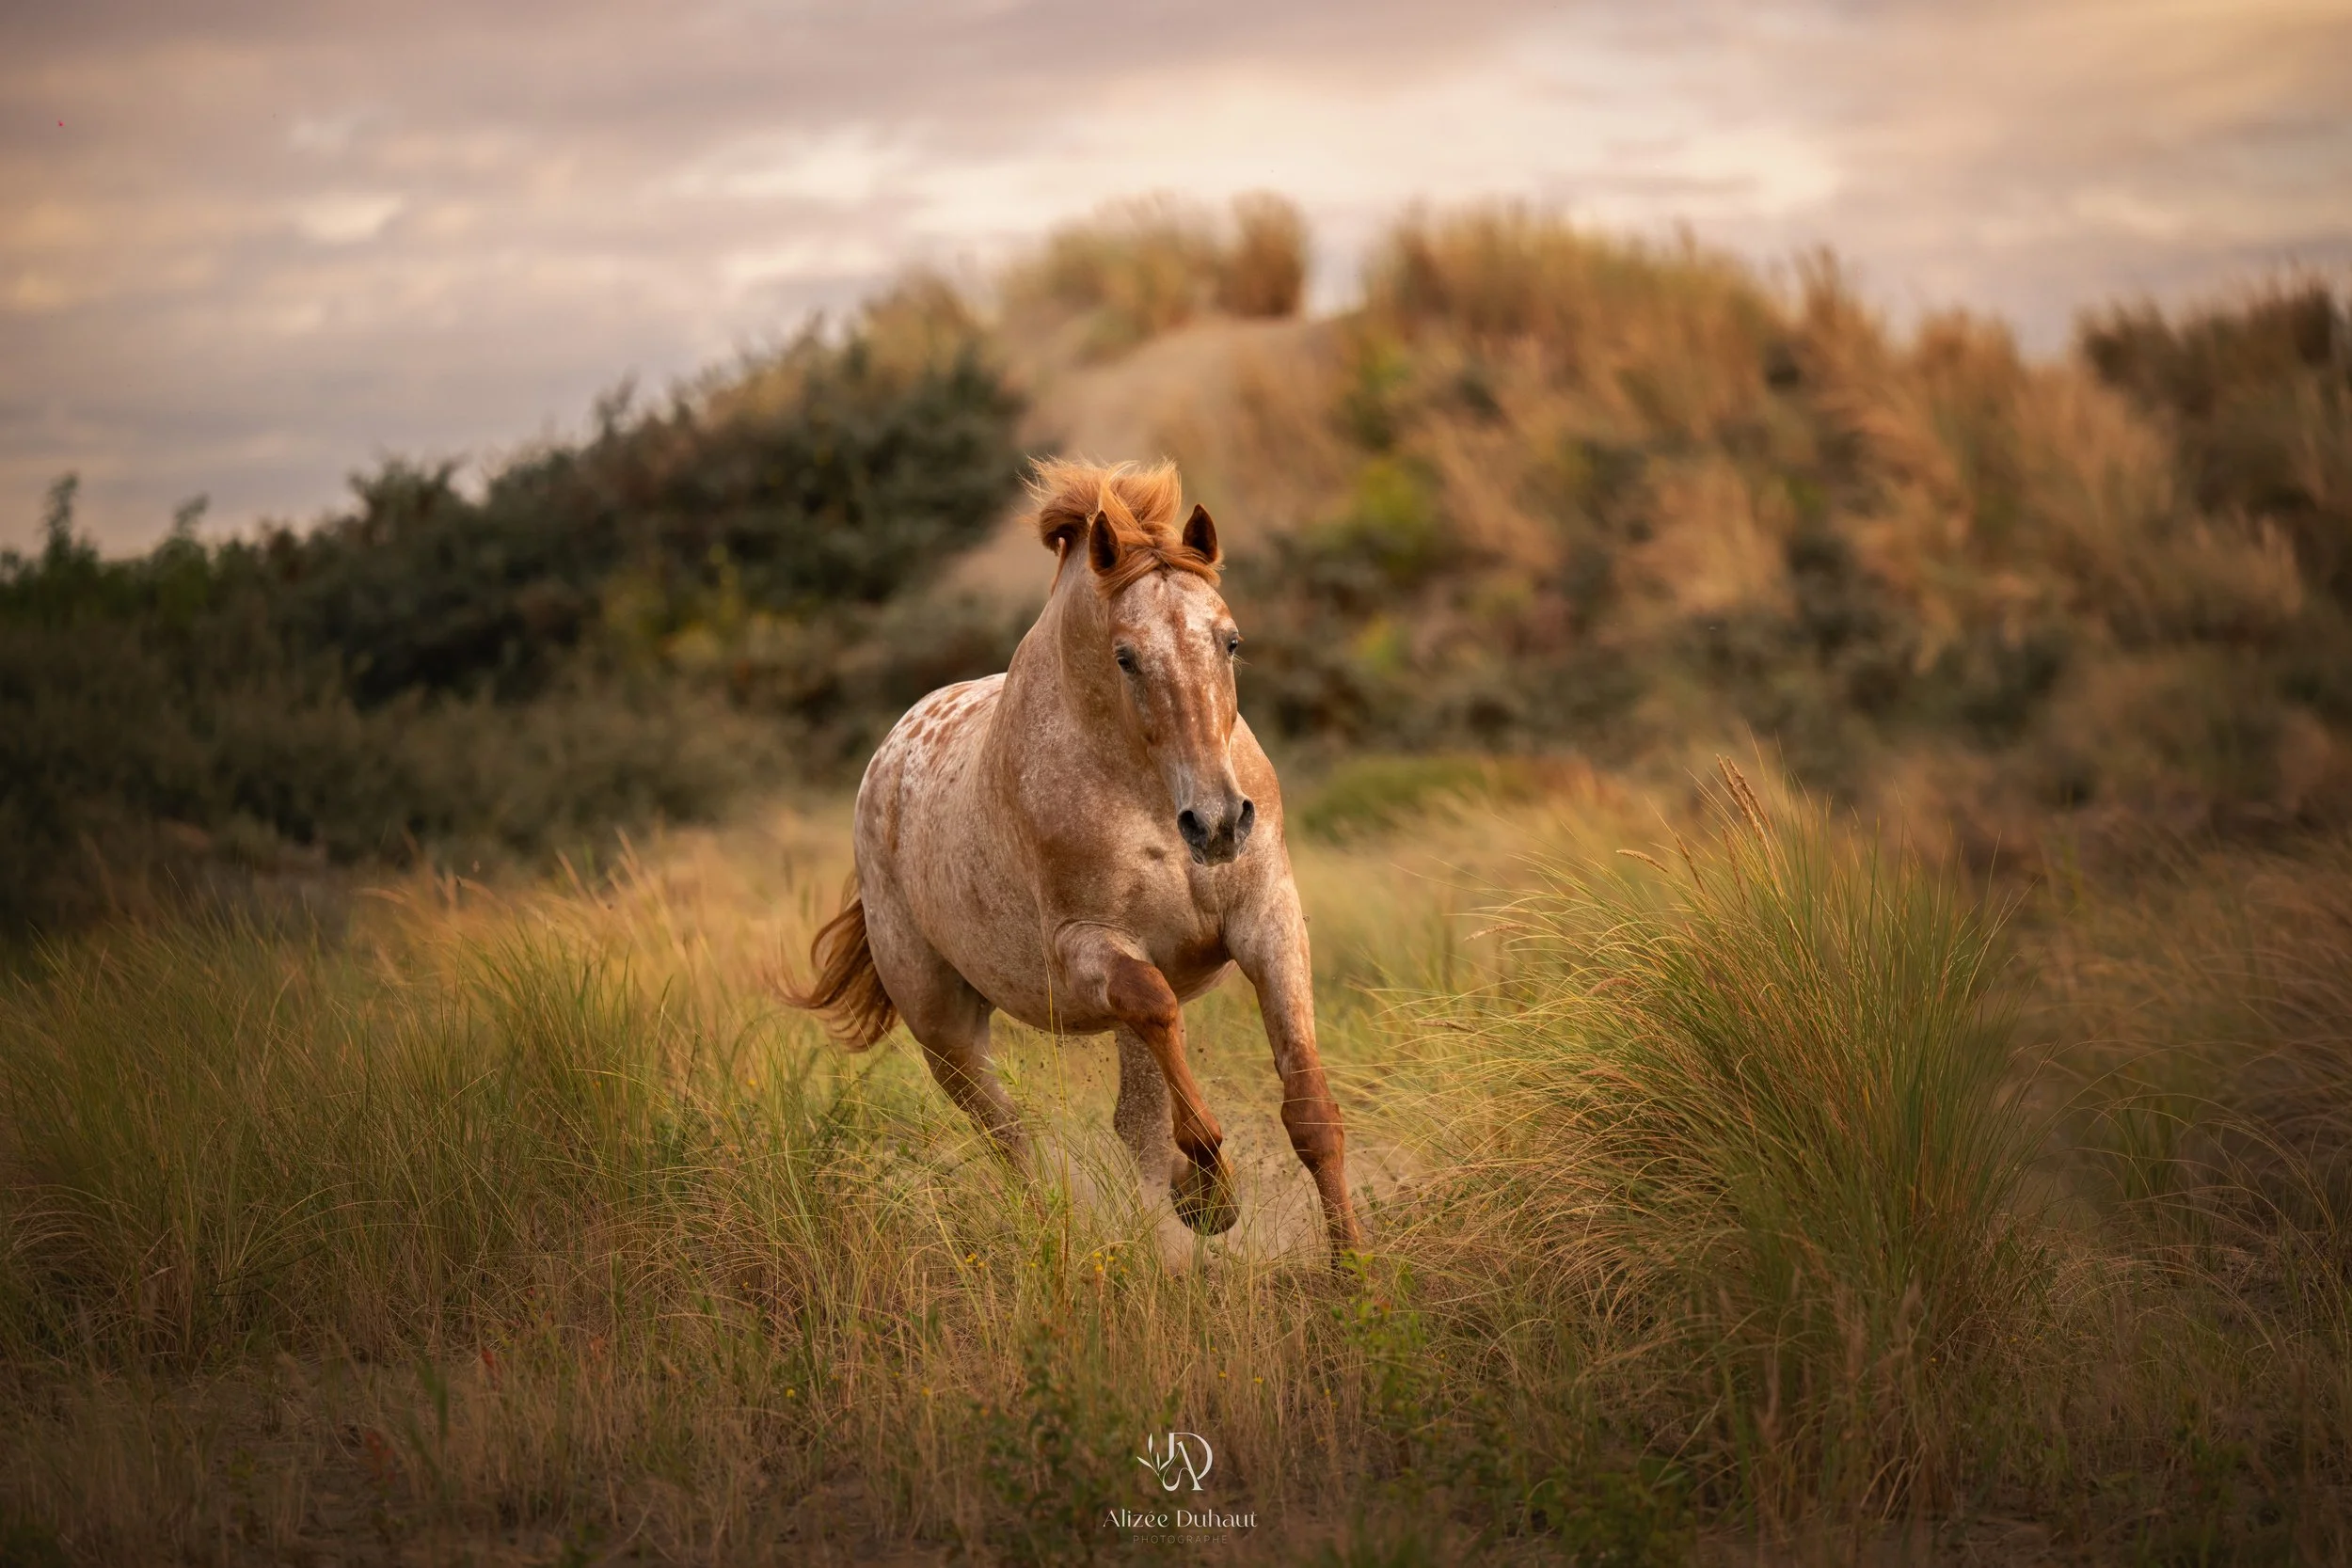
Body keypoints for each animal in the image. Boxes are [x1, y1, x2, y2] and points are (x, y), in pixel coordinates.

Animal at [786, 458, 1365, 1262]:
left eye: (1230, 640)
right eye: (1126, 656)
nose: (1218, 822)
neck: (1144, 787)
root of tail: (886, 759)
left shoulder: (1267, 919)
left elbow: (1308, 1109)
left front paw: (1356, 1269)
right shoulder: (1088, 946)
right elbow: (1155, 1019)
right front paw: (1211, 1193)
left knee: (1130, 1116)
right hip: (945, 1029)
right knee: (1010, 1136)